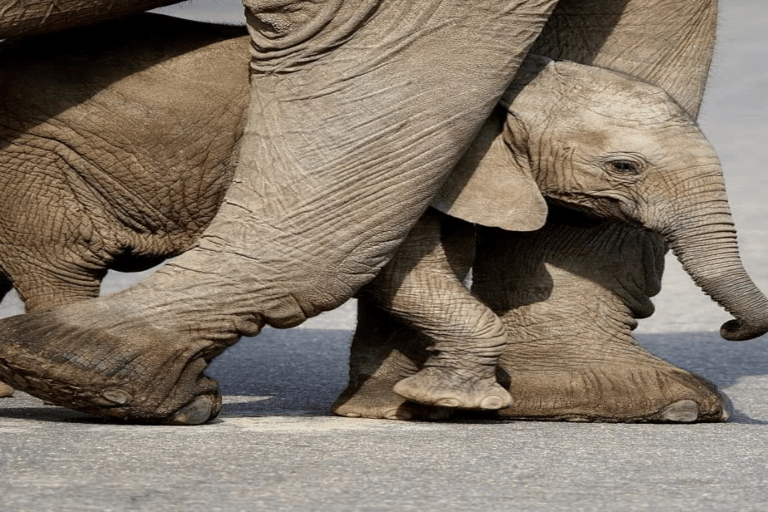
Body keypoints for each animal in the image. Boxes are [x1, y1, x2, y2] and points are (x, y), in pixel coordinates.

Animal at [0, 0, 764, 424]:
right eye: (625, 168)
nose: (731, 330)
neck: (521, 78)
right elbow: (402, 271)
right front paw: (455, 405)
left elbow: (414, 271)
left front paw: (399, 408)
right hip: (36, 169)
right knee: (59, 264)